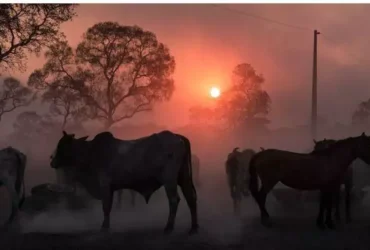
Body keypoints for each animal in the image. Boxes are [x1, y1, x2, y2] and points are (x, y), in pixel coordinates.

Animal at [51, 131, 199, 234]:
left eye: (62, 146)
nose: (52, 161)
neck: (91, 152)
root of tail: (178, 137)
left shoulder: (105, 185)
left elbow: (106, 207)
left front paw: (104, 227)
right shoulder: (111, 188)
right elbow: (109, 206)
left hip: (169, 180)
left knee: (174, 200)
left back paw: (169, 227)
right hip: (184, 177)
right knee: (190, 197)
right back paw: (193, 228)